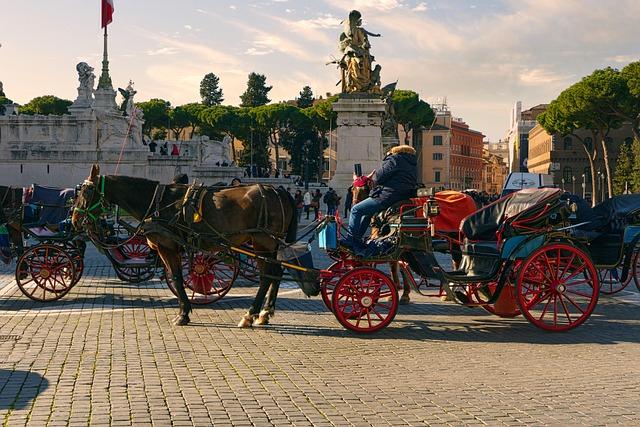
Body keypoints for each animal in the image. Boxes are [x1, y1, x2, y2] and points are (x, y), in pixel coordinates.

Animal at [73, 166, 300, 326]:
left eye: (86, 192)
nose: (74, 220)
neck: (158, 202)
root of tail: (279, 190)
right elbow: (178, 278)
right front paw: (185, 310)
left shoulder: (166, 247)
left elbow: (176, 277)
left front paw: (183, 314)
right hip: (266, 244)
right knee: (275, 273)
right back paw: (265, 313)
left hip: (262, 241)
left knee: (266, 276)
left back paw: (250, 314)